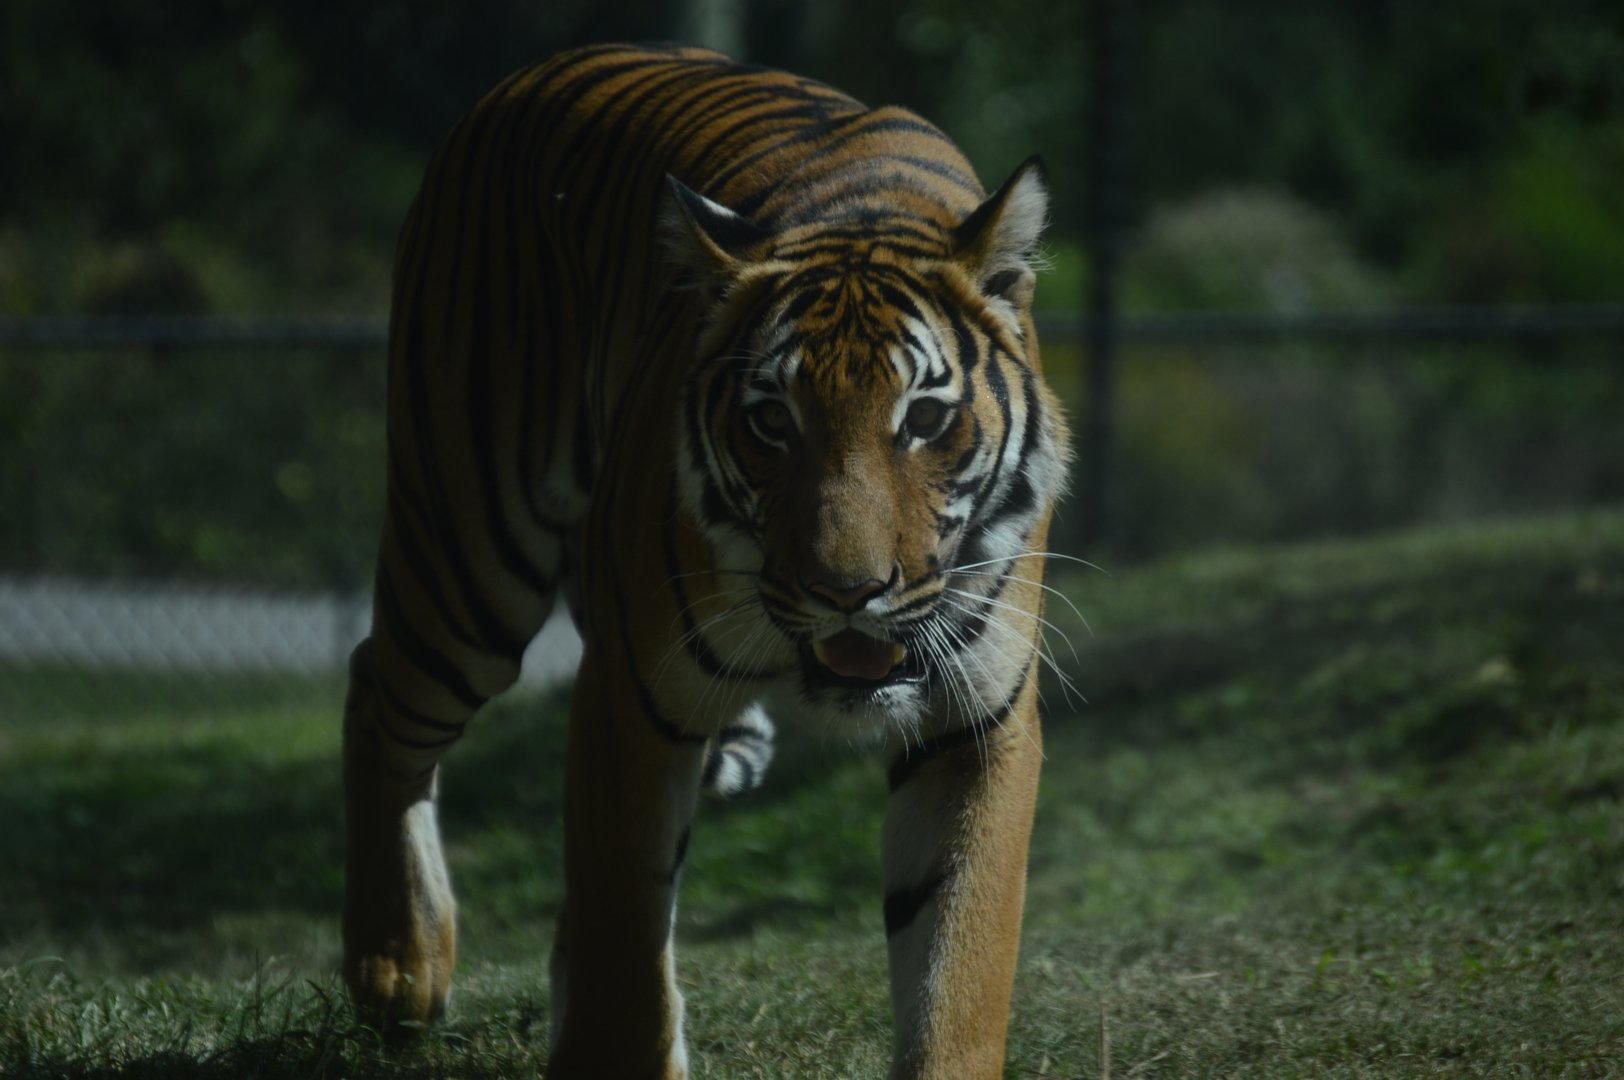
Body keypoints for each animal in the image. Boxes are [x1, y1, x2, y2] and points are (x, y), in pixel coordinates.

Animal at [341, 42, 1070, 1079]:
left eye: (925, 419)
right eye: (772, 422)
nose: (849, 593)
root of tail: (545, 67)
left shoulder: (977, 720)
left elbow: (957, 961)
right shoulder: (631, 698)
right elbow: (625, 944)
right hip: (468, 555)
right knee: (378, 692)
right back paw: (397, 966)